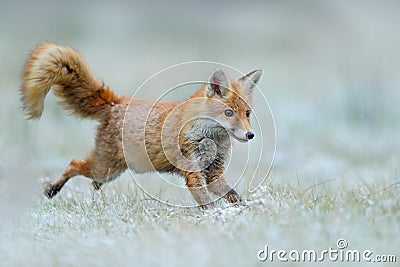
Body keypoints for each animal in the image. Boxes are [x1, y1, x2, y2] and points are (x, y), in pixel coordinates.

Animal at [20, 43, 262, 208]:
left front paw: (246, 212)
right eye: (229, 113)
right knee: (73, 164)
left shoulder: (213, 173)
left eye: (247, 114)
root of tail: (117, 102)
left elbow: (233, 196)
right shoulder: (193, 174)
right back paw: (52, 189)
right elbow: (207, 202)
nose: (250, 135)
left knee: (87, 175)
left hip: (109, 171)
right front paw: (214, 218)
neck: (210, 138)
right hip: (105, 168)